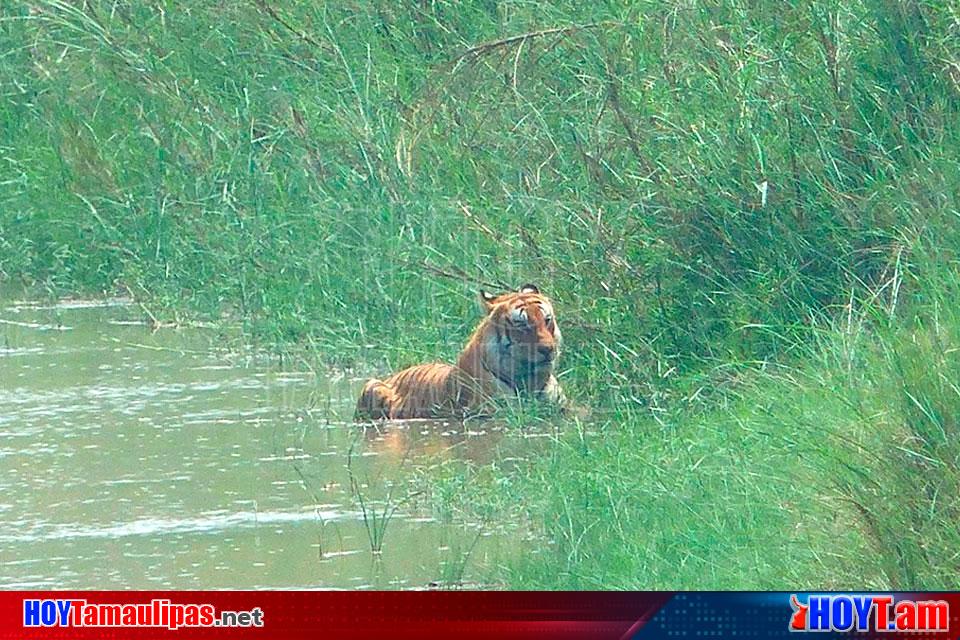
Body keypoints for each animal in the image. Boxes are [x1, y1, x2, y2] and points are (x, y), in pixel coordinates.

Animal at [354, 284, 568, 420]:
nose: (548, 349)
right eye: (522, 324)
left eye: (547, 320)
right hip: (373, 386)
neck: (531, 379)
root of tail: (393, 375)